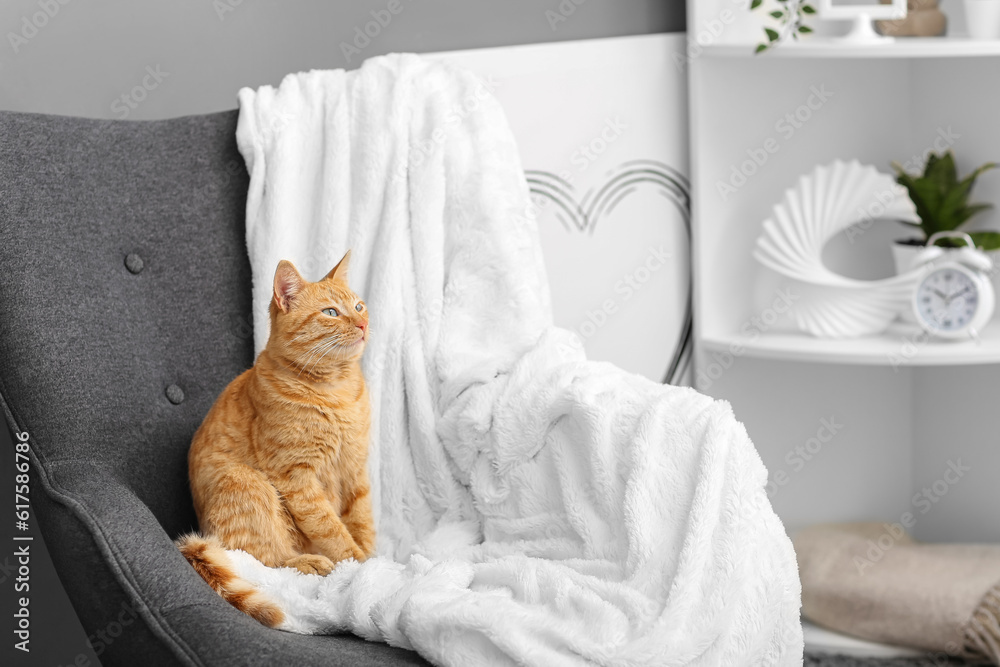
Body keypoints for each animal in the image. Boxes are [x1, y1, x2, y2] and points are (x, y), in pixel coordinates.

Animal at [176, 249, 376, 628]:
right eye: (331, 312)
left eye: (359, 306)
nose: (362, 324)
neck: (336, 389)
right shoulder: (297, 478)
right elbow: (331, 529)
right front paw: (359, 568)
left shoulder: (356, 470)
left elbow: (362, 522)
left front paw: (377, 562)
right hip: (246, 482)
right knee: (264, 560)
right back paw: (308, 562)